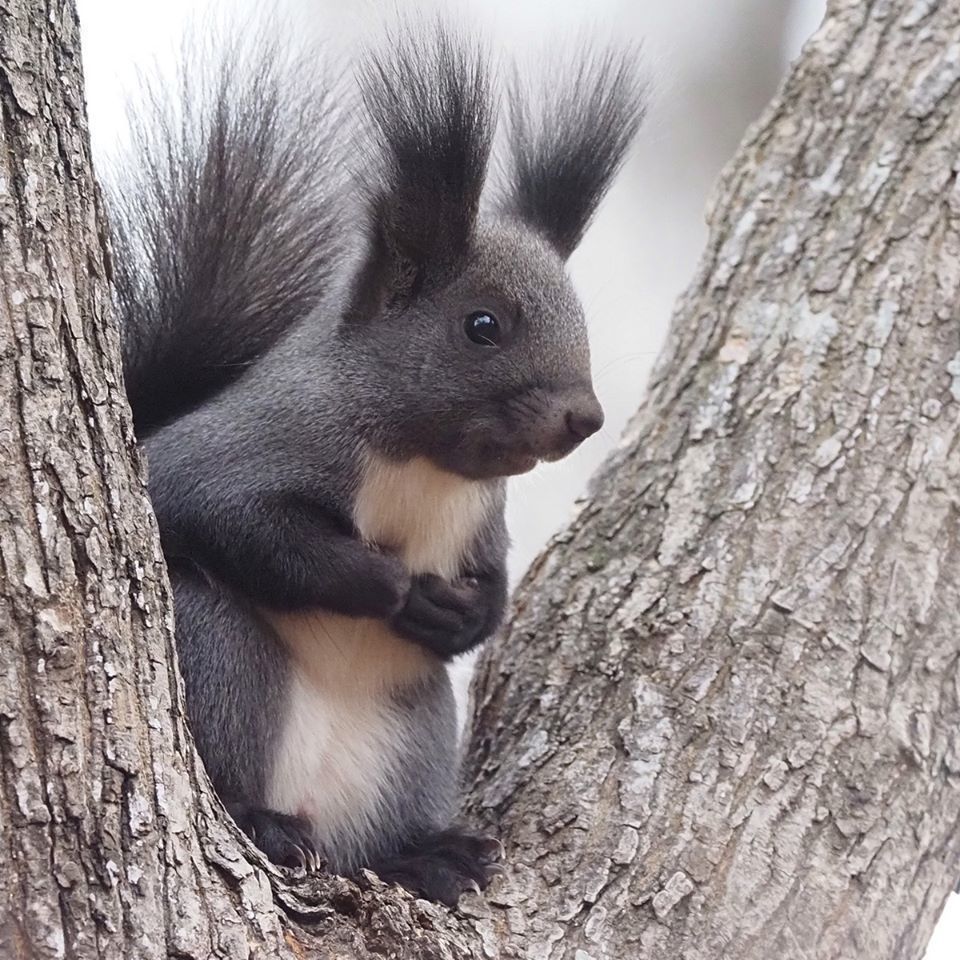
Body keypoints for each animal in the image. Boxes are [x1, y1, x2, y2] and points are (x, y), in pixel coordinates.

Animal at [109, 24, 644, 908]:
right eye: (483, 324)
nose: (584, 416)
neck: (425, 466)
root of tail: (317, 815)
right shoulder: (242, 449)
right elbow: (229, 518)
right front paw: (383, 584)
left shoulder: (484, 523)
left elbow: (494, 583)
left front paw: (462, 614)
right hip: (219, 653)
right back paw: (262, 822)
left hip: (411, 730)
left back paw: (422, 856)